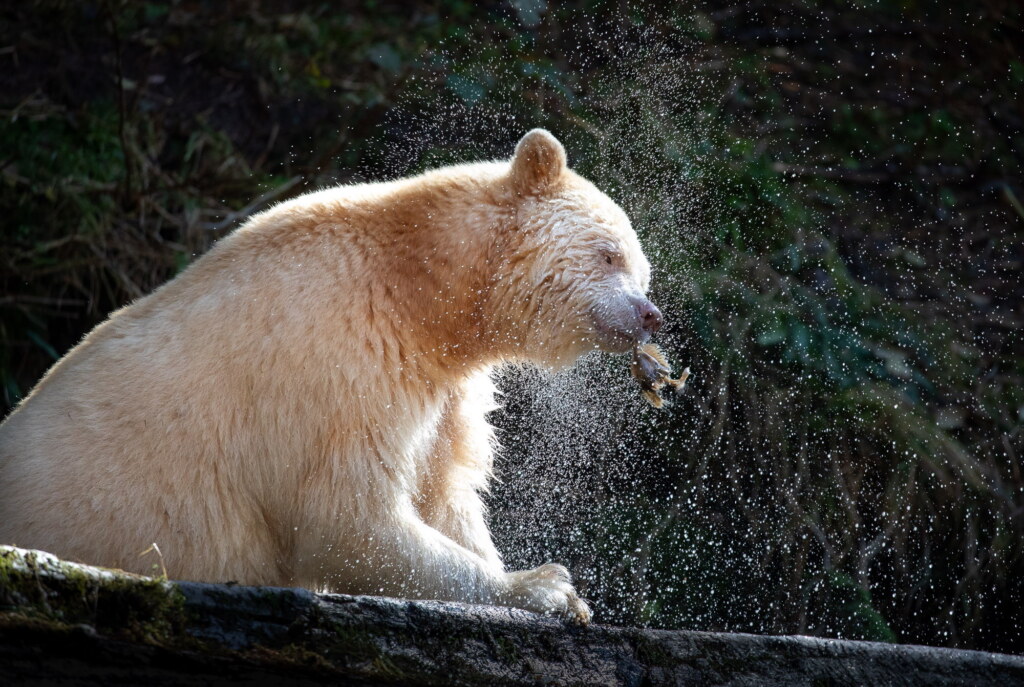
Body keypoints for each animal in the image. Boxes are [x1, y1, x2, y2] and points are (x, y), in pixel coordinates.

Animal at [0, 129, 662, 623]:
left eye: (643, 269)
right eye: (609, 255)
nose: (650, 314)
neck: (420, 287)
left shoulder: (442, 385)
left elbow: (444, 488)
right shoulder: (340, 363)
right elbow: (346, 518)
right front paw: (543, 586)